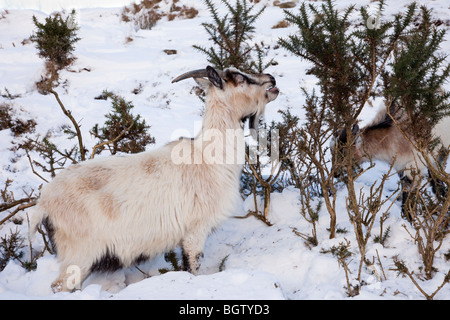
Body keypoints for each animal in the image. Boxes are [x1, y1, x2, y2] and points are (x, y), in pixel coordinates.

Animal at [29, 65, 278, 292]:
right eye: (240, 78)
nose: (271, 80)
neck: (209, 158)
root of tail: (43, 204)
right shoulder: (195, 230)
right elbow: (192, 267)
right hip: (79, 254)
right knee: (59, 286)